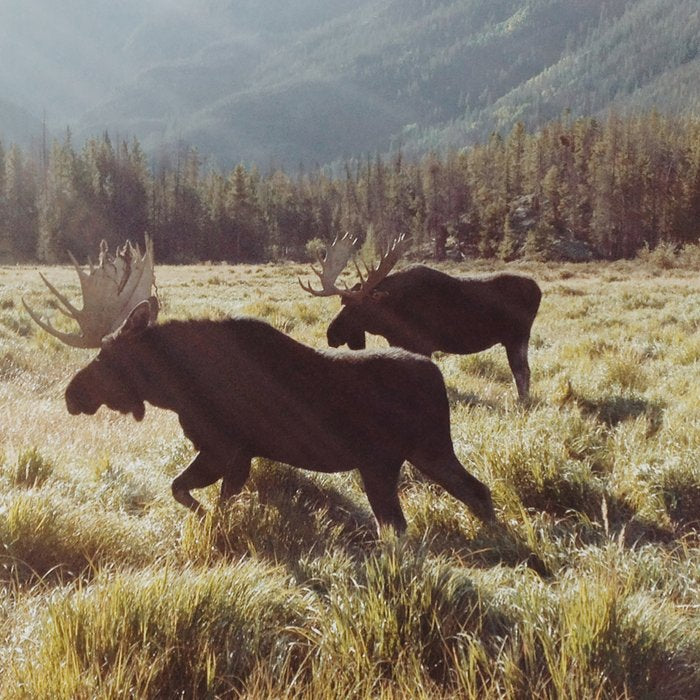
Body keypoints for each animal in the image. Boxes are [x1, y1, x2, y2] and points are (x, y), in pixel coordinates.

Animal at [25, 238, 495, 533]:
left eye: (106, 355)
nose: (72, 394)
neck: (175, 389)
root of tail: (436, 377)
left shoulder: (223, 447)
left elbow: (186, 492)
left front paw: (206, 521)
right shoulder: (241, 455)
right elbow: (205, 495)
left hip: (386, 462)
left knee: (401, 524)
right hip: (429, 452)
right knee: (478, 491)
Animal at [299, 235, 542, 400]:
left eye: (356, 307)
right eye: (343, 303)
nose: (331, 334)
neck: (391, 317)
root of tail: (538, 290)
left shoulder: (423, 345)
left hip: (517, 337)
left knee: (522, 372)